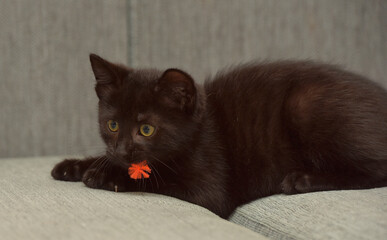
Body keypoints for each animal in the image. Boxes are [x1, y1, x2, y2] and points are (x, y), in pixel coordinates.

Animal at [51, 54, 387, 219]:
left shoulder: (210, 187)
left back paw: (302, 179)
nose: (121, 150)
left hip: (304, 104)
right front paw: (75, 166)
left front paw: (106, 176)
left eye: (146, 129)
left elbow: (157, 179)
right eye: (112, 125)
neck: (200, 128)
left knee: (377, 169)